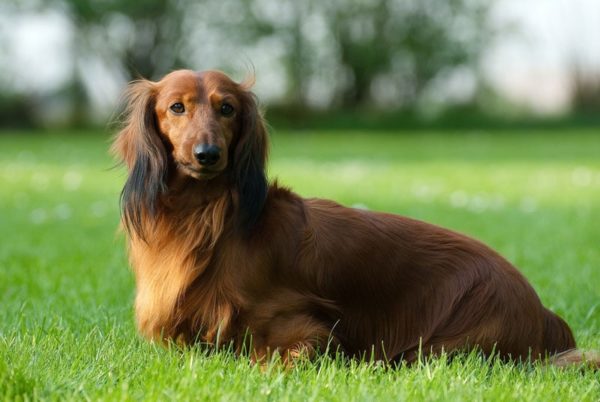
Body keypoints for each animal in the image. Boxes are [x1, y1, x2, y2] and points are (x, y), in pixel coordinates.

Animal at [111, 70, 596, 368]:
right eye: (177, 107)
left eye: (226, 108)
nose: (207, 154)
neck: (205, 219)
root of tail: (542, 310)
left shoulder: (309, 333)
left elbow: (265, 359)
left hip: (436, 349)